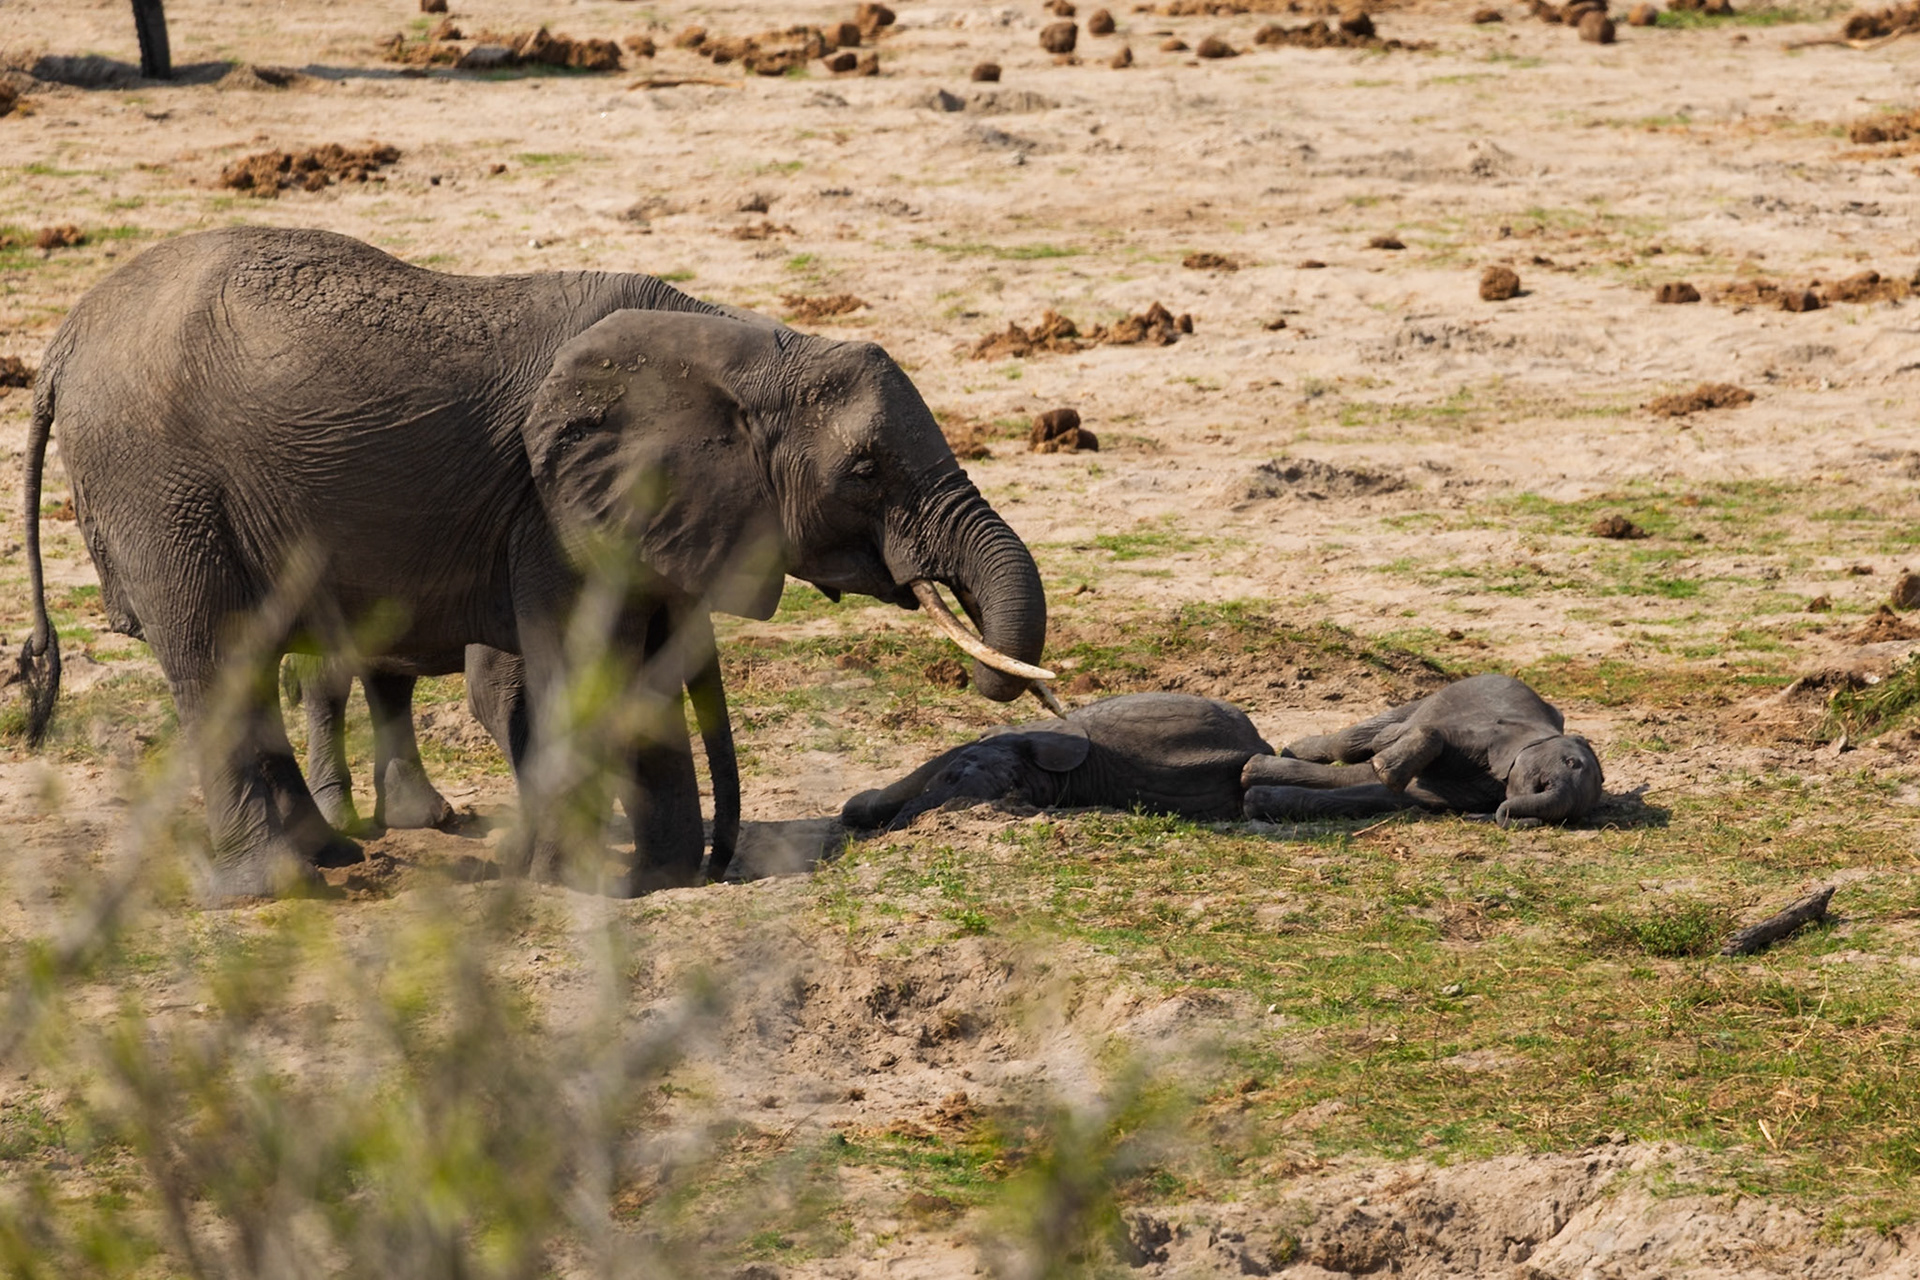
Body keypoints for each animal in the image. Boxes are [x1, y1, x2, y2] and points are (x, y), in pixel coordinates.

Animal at [17, 226, 1049, 897]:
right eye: (865, 470)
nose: (725, 866)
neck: (737, 343)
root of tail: (64, 340)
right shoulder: (545, 513)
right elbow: (582, 671)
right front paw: (576, 885)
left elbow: (636, 674)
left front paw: (653, 883)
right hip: (159, 485)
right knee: (217, 655)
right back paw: (280, 886)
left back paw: (332, 858)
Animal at [1240, 674, 1602, 827]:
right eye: (1569, 762)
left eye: (1568, 819)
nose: (1479, 818)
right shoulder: (1483, 732)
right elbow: (1413, 736)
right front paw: (1386, 768)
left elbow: (1385, 796)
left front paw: (1257, 800)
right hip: (1434, 695)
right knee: (1355, 740)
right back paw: (1291, 752)